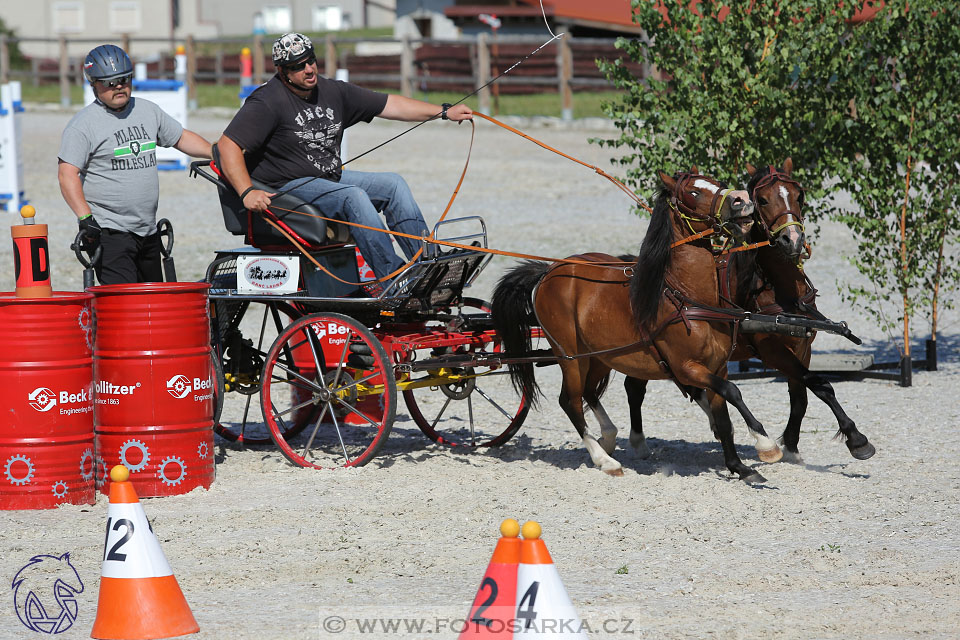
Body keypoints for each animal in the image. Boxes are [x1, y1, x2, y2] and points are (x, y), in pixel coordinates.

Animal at [492, 170, 784, 480]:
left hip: (600, 356)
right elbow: (733, 392)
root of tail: (548, 271)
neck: (687, 298)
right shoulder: (687, 368)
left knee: (588, 392)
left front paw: (739, 466)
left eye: (716, 183)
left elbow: (724, 417)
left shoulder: (717, 367)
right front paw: (766, 445)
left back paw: (608, 438)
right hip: (569, 355)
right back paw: (605, 459)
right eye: (693, 193)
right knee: (570, 401)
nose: (742, 199)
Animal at [624, 160, 876, 464]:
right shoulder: (772, 351)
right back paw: (638, 442)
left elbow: (802, 395)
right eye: (762, 200)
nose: (792, 239)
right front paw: (856, 438)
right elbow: (818, 383)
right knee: (636, 386)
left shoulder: (803, 346)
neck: (781, 292)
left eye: (798, 195)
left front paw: (791, 444)